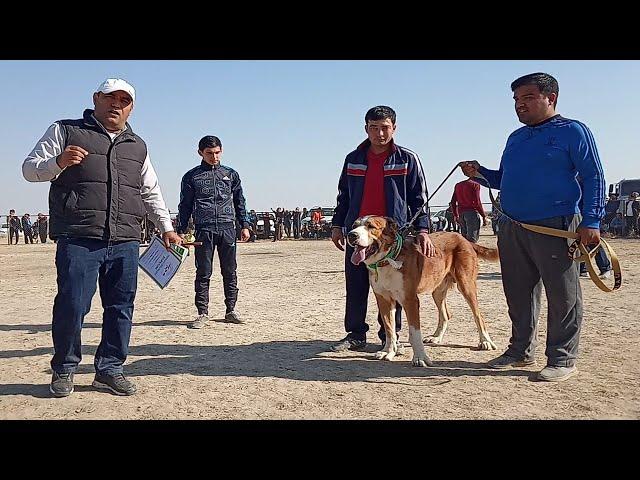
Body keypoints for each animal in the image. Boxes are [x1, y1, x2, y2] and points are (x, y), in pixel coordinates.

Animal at [348, 216, 498, 366]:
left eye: (371, 226)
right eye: (354, 226)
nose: (351, 235)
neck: (387, 260)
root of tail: (463, 238)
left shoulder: (410, 300)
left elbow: (414, 333)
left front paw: (420, 357)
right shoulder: (383, 300)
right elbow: (389, 329)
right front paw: (388, 351)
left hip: (466, 286)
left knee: (478, 315)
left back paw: (485, 341)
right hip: (437, 292)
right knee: (445, 314)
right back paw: (436, 337)